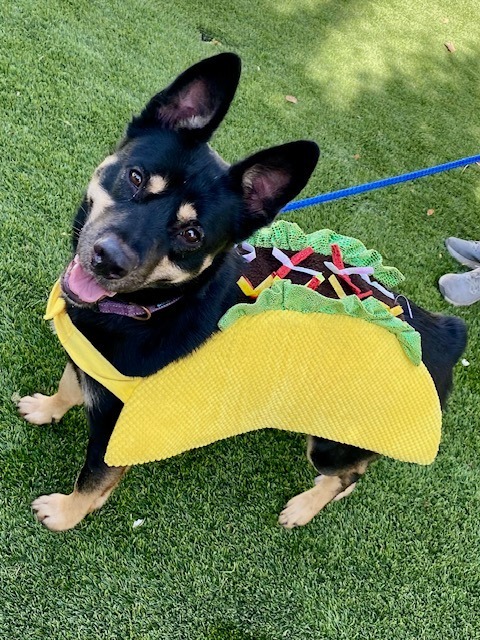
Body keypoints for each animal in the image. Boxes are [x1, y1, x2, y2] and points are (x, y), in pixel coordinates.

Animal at [17, 52, 464, 528]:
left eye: (192, 234)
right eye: (135, 177)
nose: (108, 259)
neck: (156, 307)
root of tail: (446, 334)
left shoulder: (119, 427)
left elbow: (93, 480)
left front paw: (64, 513)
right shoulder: (88, 360)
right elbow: (70, 383)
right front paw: (47, 408)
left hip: (331, 444)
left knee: (349, 474)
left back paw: (306, 506)